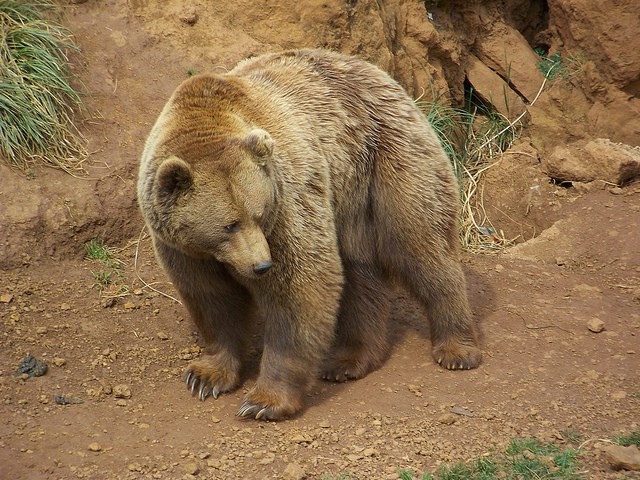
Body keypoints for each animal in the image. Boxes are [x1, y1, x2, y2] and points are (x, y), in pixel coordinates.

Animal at [139, 47, 480, 418]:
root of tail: (381, 74)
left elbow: (300, 286)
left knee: (420, 245)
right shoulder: (184, 249)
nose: (261, 266)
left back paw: (457, 348)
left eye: (259, 215)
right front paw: (205, 376)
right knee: (359, 272)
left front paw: (263, 401)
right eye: (230, 224)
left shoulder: (288, 196)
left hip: (389, 157)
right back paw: (349, 359)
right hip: (349, 192)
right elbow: (212, 299)